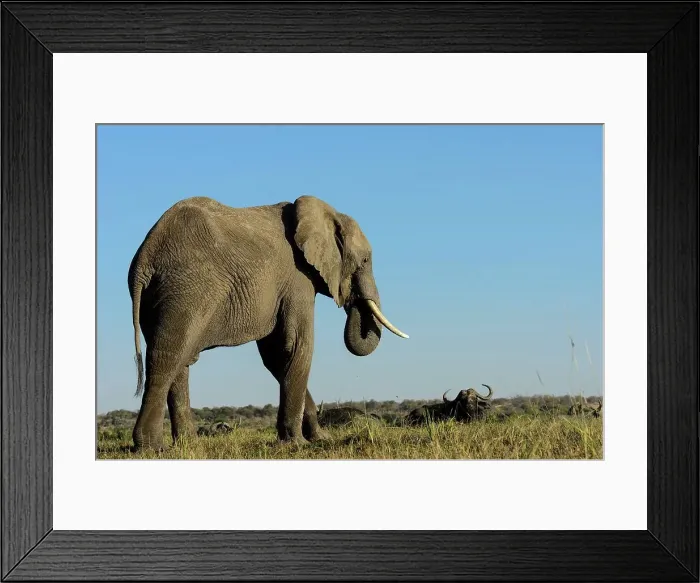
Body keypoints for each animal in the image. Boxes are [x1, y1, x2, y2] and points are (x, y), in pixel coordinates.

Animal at [127, 195, 409, 451]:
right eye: (365, 261)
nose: (351, 301)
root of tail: (145, 258)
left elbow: (276, 356)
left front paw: (320, 438)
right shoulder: (297, 278)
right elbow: (296, 345)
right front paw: (296, 443)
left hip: (160, 297)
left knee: (180, 360)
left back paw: (189, 445)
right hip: (188, 290)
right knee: (168, 356)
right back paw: (152, 448)